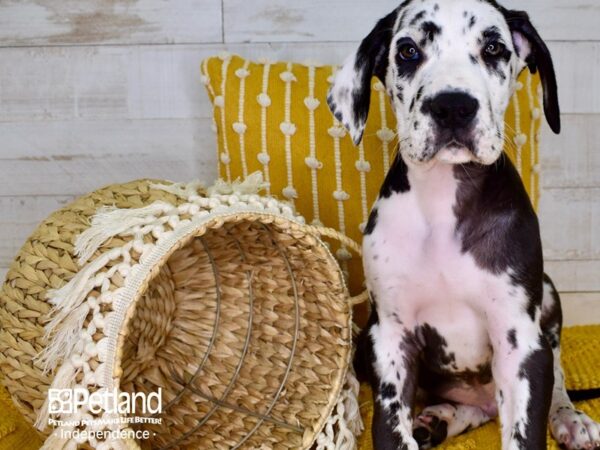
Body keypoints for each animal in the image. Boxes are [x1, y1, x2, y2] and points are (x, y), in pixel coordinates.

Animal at [328, 0, 600, 450]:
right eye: (407, 51)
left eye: (493, 48)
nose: (453, 106)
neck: (442, 205)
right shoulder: (389, 338)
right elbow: (391, 428)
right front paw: (411, 430)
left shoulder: (519, 340)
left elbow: (526, 428)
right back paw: (437, 419)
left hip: (547, 301)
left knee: (558, 373)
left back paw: (569, 418)